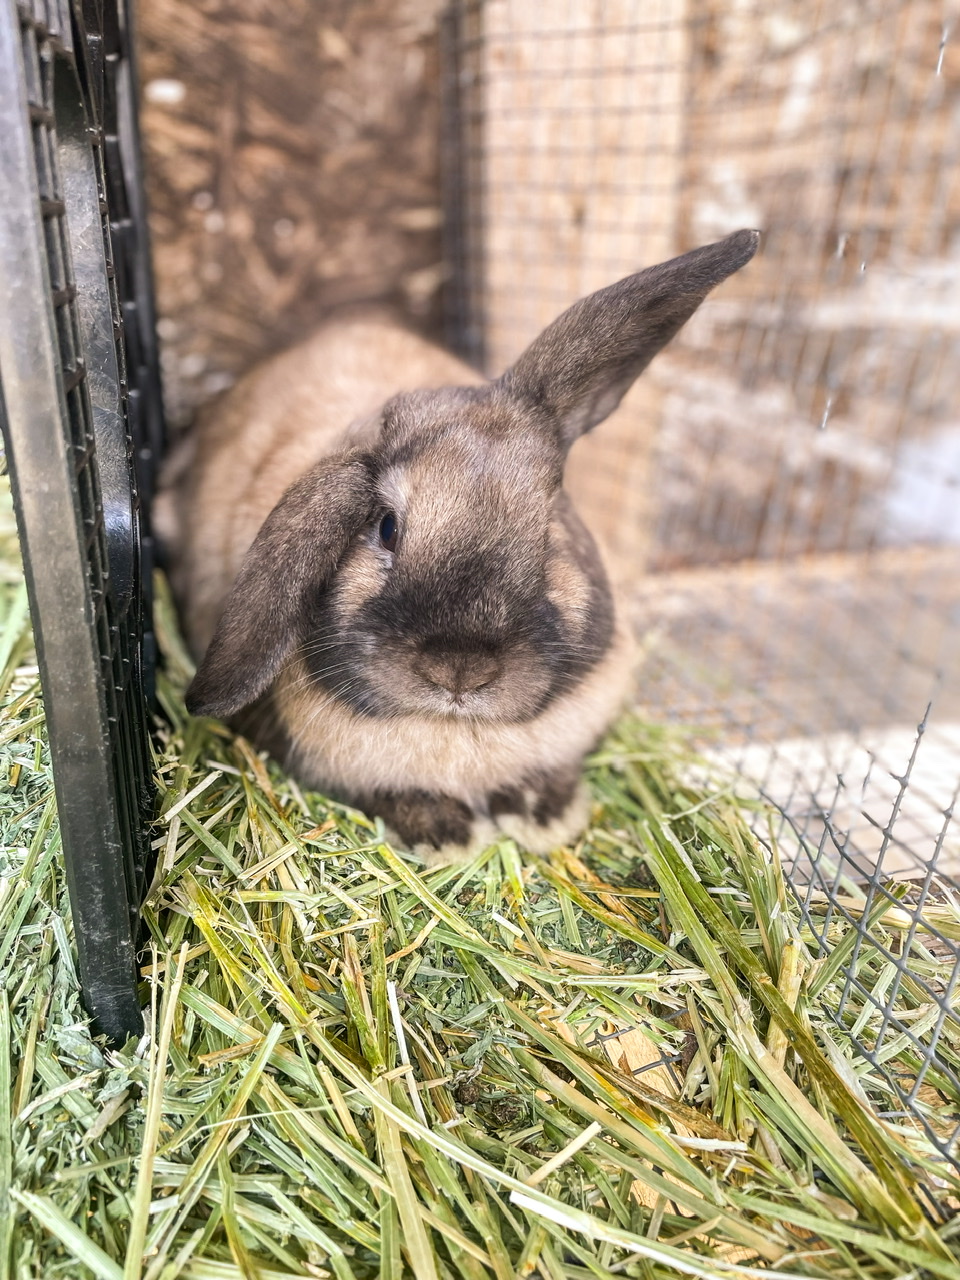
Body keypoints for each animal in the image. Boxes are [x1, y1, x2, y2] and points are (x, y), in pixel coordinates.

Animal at [159, 229, 759, 865]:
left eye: (549, 527)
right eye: (386, 528)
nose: (460, 670)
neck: (457, 732)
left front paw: (544, 813)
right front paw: (448, 835)